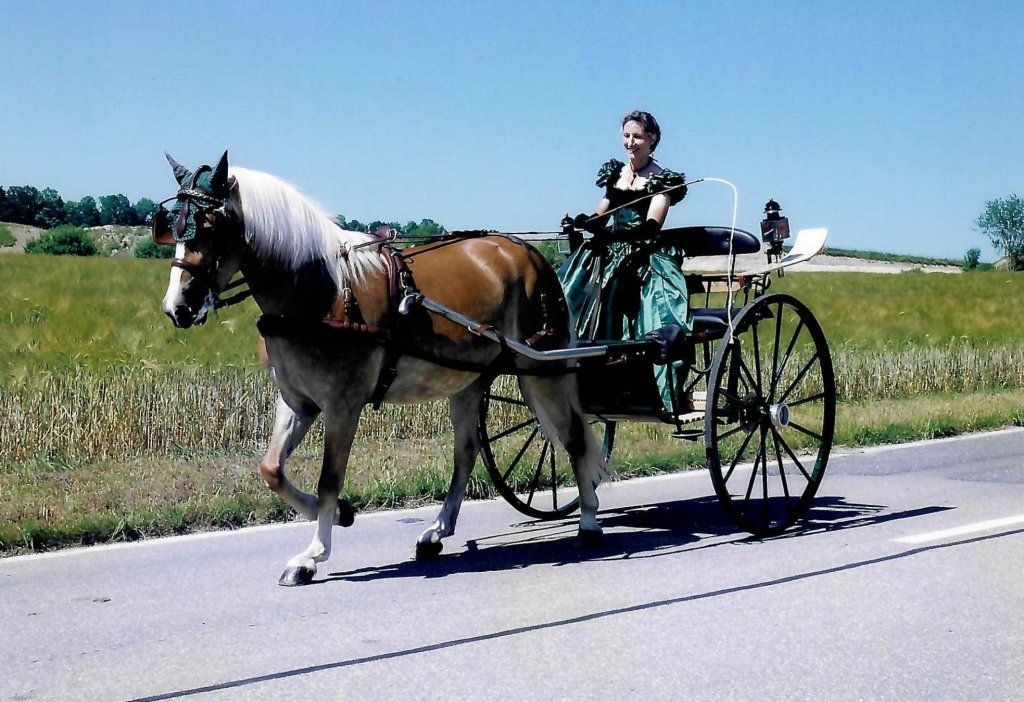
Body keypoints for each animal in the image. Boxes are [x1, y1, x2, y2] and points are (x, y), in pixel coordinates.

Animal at [157, 153, 606, 589]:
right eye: (173, 226)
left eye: (210, 226)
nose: (177, 308)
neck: (322, 292)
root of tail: (529, 251)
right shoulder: (298, 402)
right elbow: (271, 470)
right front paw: (340, 515)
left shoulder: (343, 405)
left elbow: (329, 478)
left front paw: (313, 553)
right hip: (468, 381)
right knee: (466, 452)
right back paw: (437, 531)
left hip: (541, 368)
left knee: (574, 438)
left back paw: (588, 520)